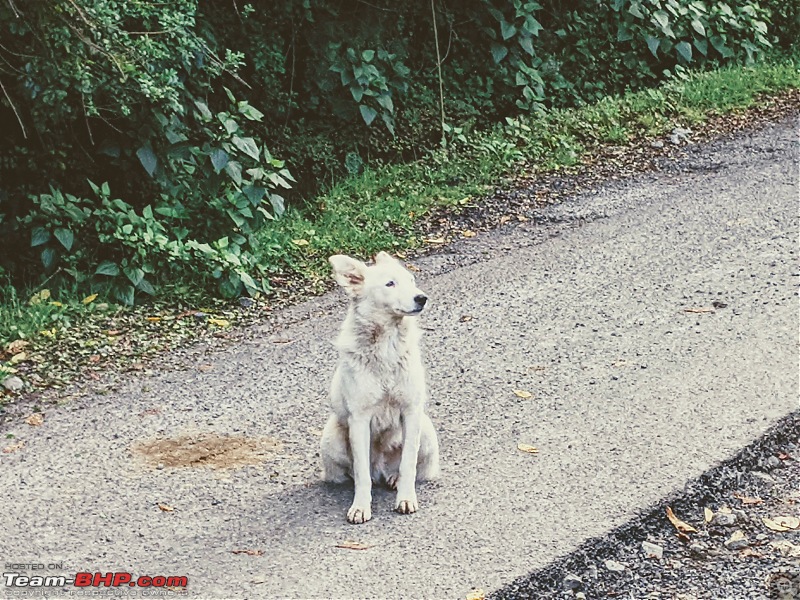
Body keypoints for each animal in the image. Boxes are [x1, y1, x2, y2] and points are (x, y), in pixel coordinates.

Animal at [320, 251, 444, 524]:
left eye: (411, 280)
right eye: (390, 284)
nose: (422, 298)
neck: (386, 346)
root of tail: (381, 472)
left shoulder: (411, 411)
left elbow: (408, 464)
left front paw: (405, 499)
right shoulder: (359, 419)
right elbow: (361, 473)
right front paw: (360, 507)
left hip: (426, 429)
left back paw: (394, 478)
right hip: (331, 438)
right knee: (356, 473)